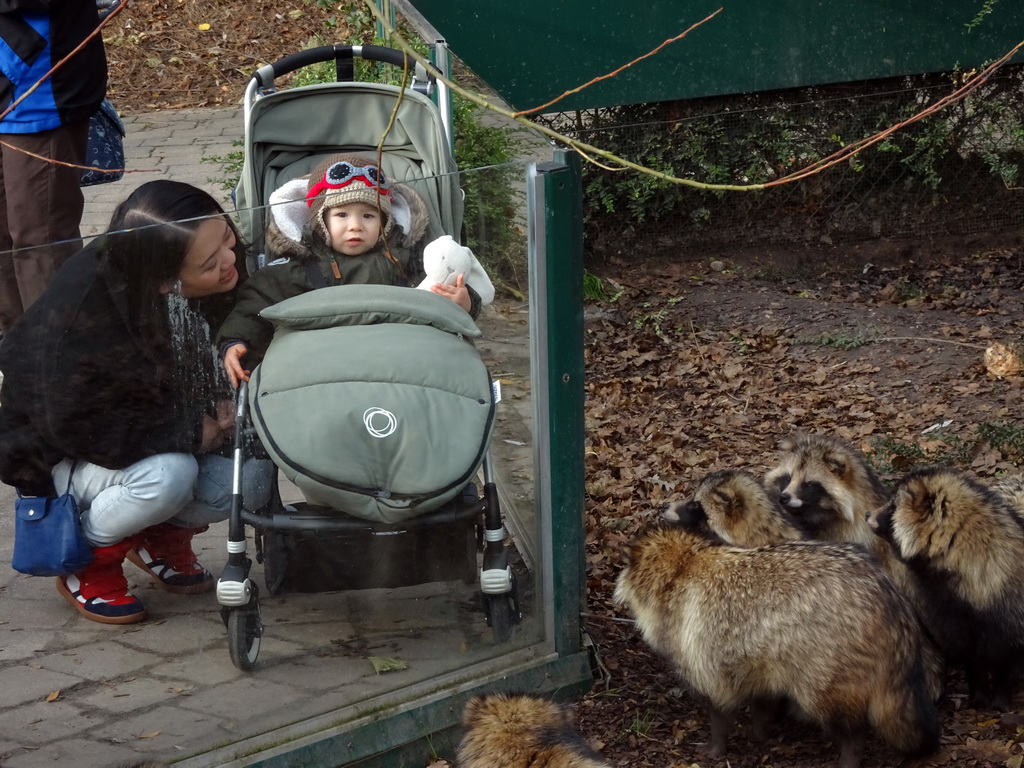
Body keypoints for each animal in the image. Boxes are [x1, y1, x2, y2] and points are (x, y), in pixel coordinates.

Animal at [610, 524, 937, 765]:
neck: (682, 567)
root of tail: (890, 598)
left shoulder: (698, 653)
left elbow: (717, 706)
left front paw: (716, 747)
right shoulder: (760, 658)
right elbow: (760, 699)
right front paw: (761, 731)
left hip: (825, 674)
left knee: (848, 727)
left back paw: (850, 754)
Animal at [868, 462, 1024, 708]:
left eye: (892, 505)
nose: (868, 514)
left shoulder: (1011, 609)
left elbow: (1010, 663)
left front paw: (1000, 697)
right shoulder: (954, 615)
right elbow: (972, 657)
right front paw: (979, 692)